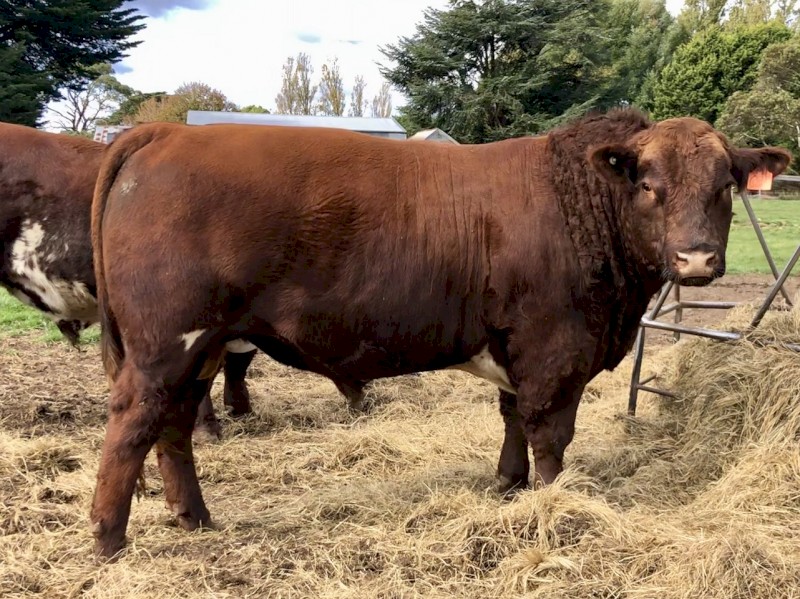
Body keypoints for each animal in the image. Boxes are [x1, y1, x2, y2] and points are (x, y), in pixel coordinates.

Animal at [87, 108, 791, 558]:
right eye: (647, 184)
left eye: (725, 186)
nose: (696, 260)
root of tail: (165, 132)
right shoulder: (555, 347)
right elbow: (549, 434)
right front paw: (553, 505)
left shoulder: (516, 344)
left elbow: (511, 417)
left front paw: (507, 485)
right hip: (166, 342)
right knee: (132, 423)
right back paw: (109, 538)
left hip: (200, 346)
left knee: (174, 426)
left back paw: (193, 518)